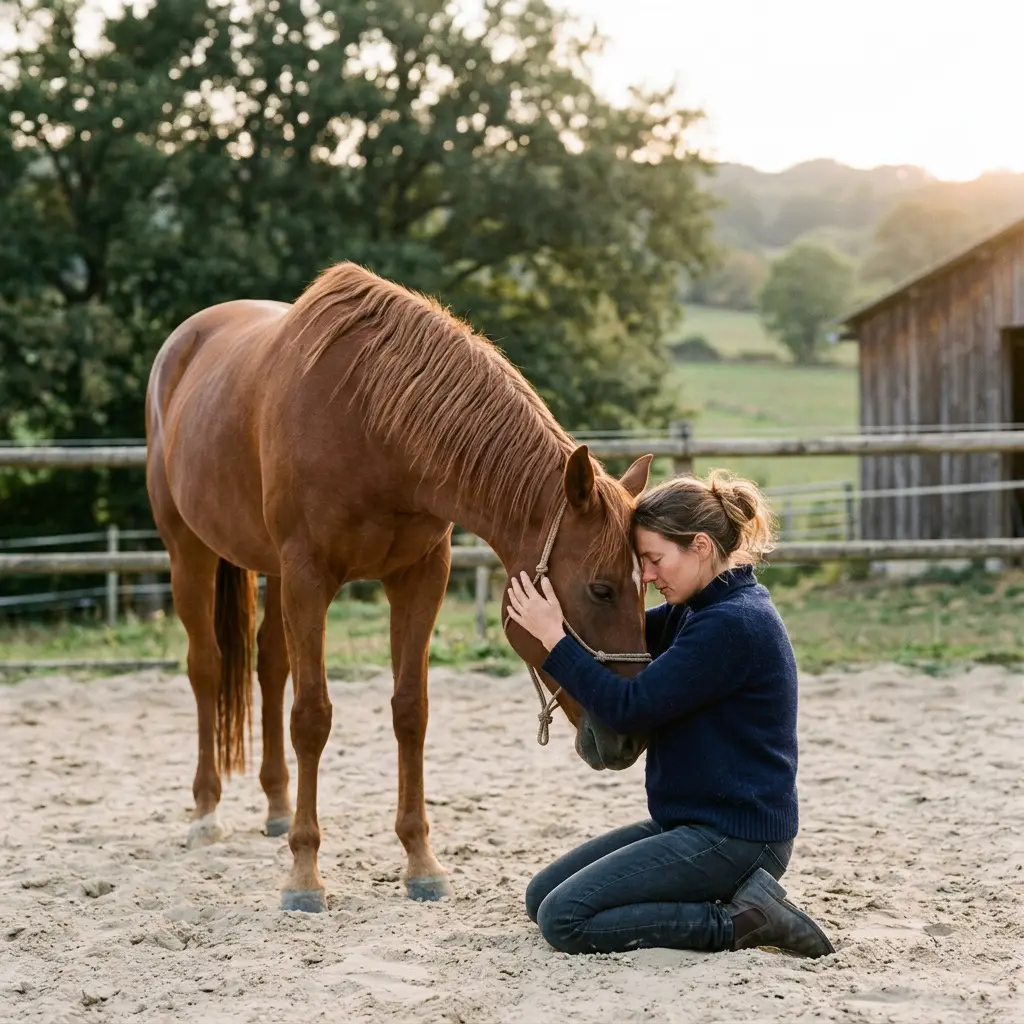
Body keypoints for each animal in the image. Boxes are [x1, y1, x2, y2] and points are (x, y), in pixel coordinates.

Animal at [145, 261, 654, 912]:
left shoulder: (419, 577)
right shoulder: (309, 576)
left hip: (272, 574)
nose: (629, 740)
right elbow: (312, 716)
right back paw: (206, 813)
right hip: (189, 550)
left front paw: (421, 862)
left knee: (270, 667)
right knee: (207, 669)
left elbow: (410, 711)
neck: (370, 422)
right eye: (600, 590)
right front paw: (305, 875)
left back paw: (278, 807)